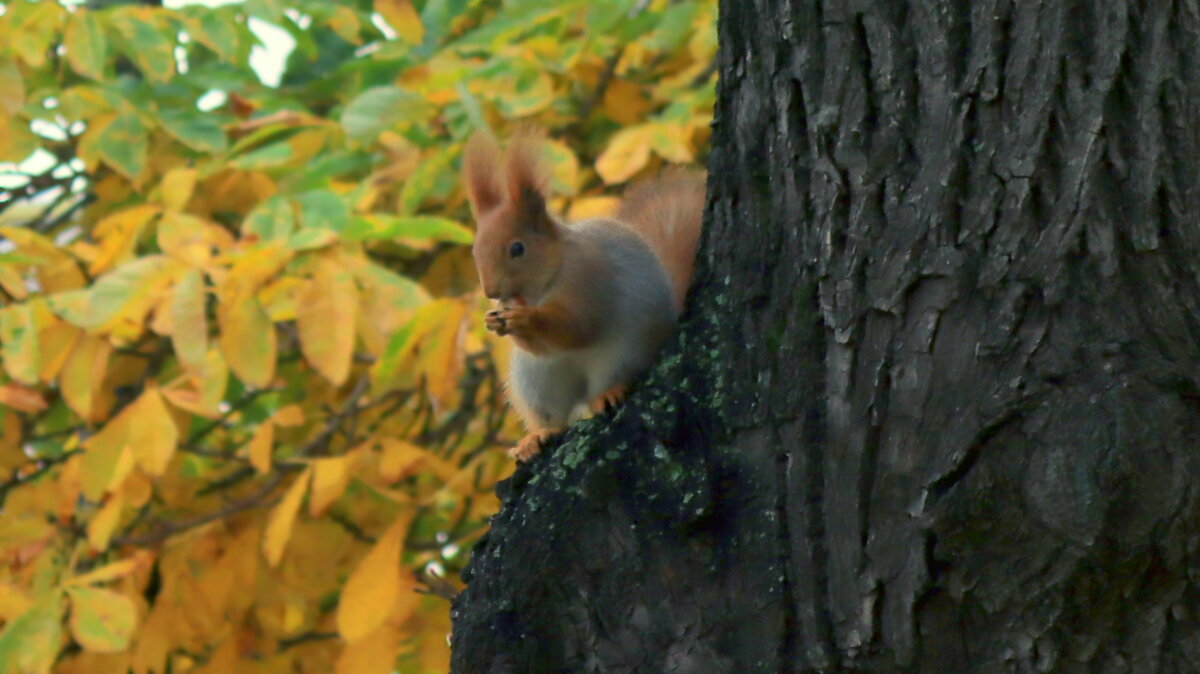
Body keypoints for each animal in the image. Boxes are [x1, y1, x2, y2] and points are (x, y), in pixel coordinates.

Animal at [458, 127, 700, 458]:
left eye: (517, 249)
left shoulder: (588, 279)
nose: (491, 290)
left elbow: (578, 327)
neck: (544, 283)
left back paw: (607, 393)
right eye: (475, 251)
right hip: (536, 381)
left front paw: (526, 319)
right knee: (554, 417)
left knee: (611, 379)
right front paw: (493, 321)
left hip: (623, 355)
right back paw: (539, 435)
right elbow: (543, 346)